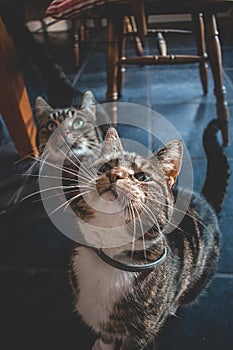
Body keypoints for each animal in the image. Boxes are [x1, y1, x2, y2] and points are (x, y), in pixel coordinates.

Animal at [67, 121, 228, 350]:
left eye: (141, 176)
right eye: (105, 167)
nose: (115, 174)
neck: (111, 258)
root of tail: (203, 200)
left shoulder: (139, 334)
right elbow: (107, 334)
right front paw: (104, 344)